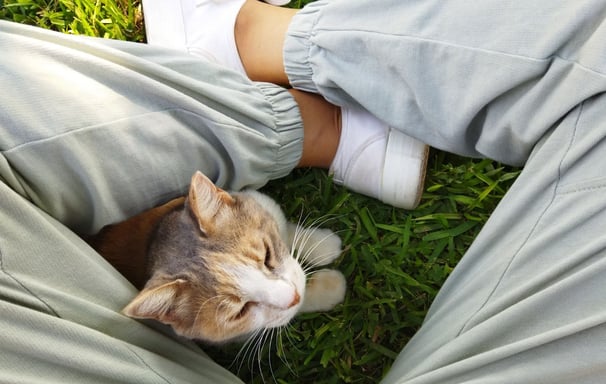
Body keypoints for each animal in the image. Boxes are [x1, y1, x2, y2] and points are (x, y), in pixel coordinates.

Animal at [88, 172, 350, 344]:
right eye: (240, 312)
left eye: (267, 255)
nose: (294, 296)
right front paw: (328, 287)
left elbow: (285, 230)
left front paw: (321, 245)